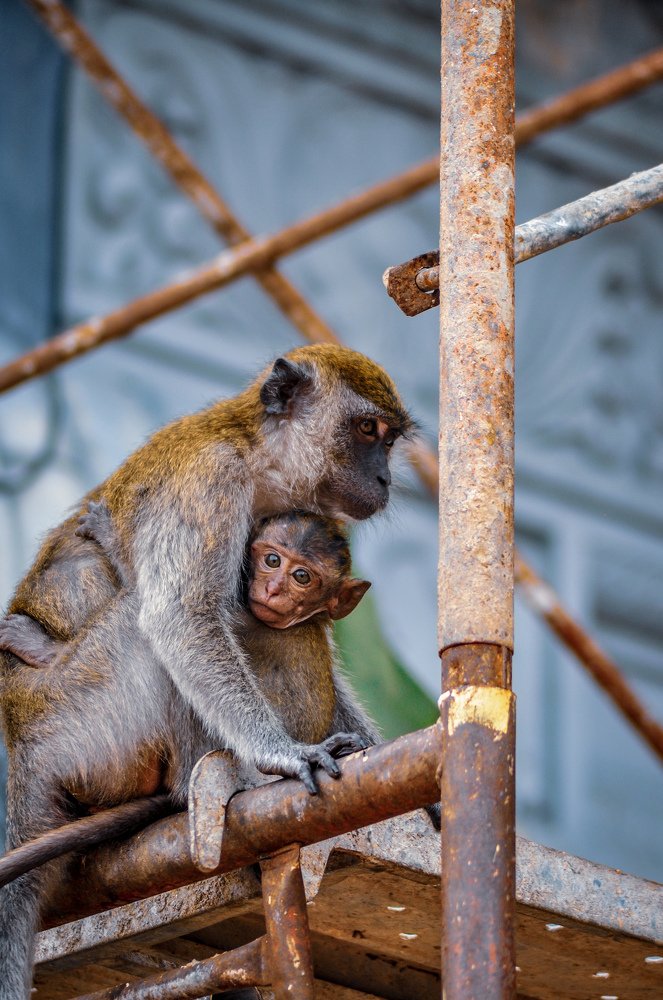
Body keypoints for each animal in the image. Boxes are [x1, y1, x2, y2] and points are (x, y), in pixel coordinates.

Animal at [0, 344, 411, 999]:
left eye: (390, 439)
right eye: (367, 431)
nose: (384, 479)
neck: (255, 456)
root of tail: (23, 755)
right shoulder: (210, 484)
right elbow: (181, 616)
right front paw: (280, 754)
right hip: (78, 728)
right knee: (144, 625)